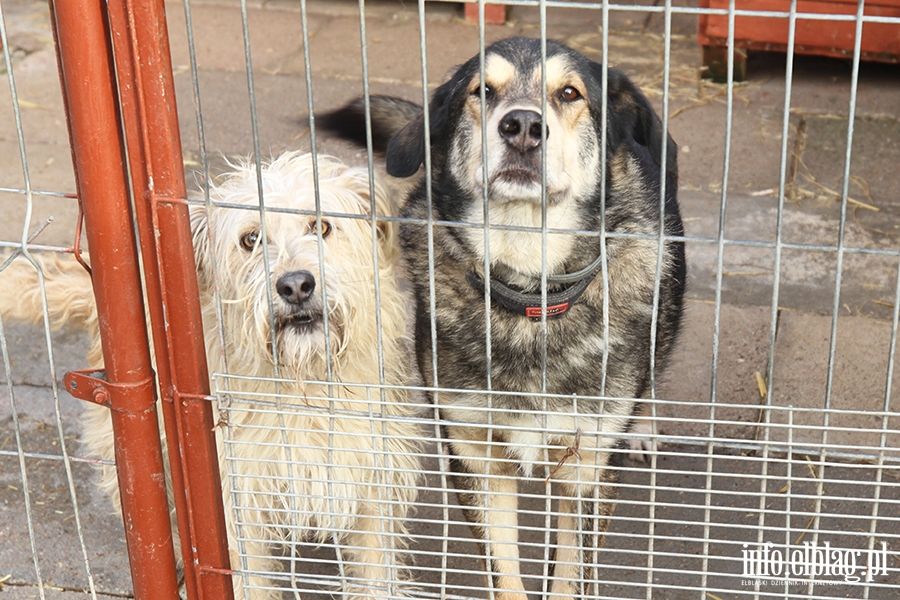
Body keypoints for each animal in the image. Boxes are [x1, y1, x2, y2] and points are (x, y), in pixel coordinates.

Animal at [0, 152, 422, 596]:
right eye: (250, 240)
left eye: (320, 226)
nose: (295, 286)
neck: (304, 385)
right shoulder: (232, 501)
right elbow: (245, 578)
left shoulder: (373, 481)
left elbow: (375, 572)